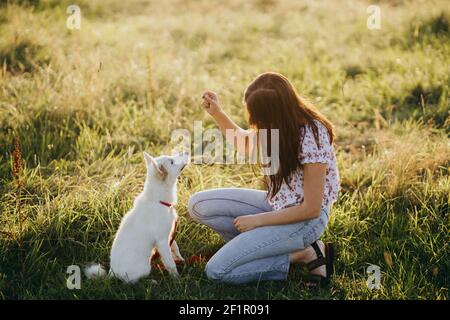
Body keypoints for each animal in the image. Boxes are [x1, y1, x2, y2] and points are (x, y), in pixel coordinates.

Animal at [84, 151, 188, 282]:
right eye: (172, 162)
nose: (186, 151)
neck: (158, 201)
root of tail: (112, 274)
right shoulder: (162, 241)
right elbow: (170, 263)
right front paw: (177, 279)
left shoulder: (168, 236)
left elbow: (174, 246)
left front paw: (180, 258)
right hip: (145, 267)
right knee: (135, 281)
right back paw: (151, 281)